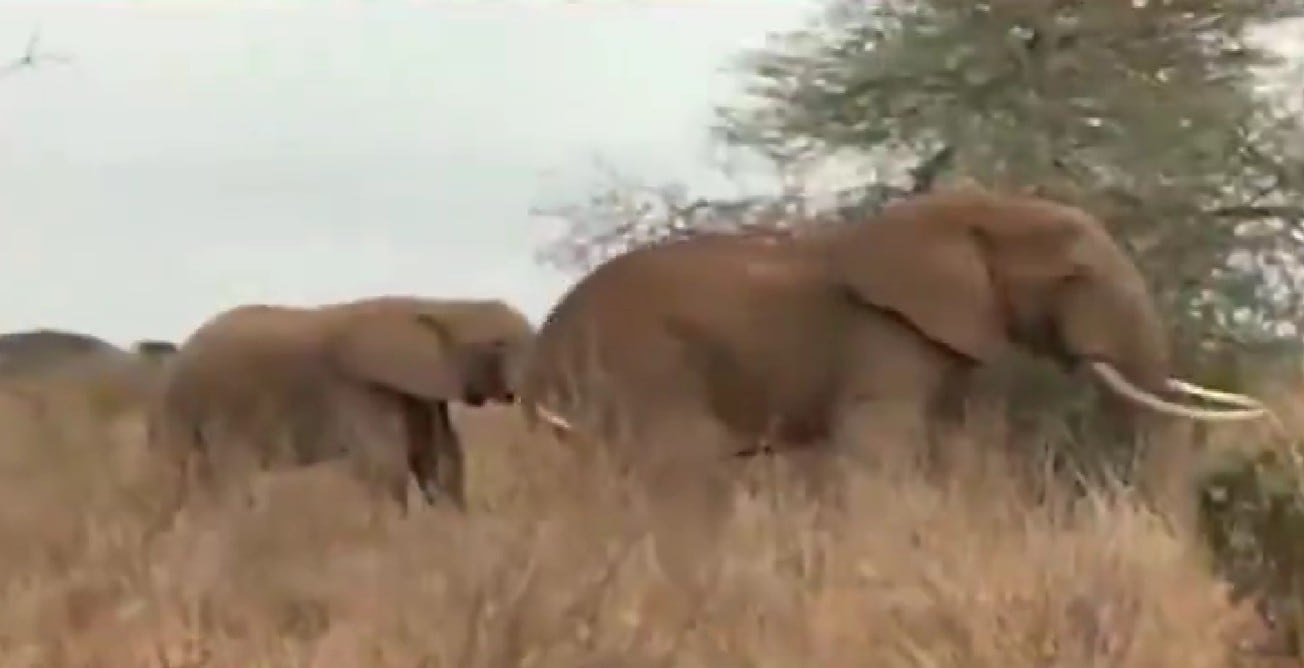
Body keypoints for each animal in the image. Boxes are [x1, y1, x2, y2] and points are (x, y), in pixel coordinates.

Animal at [147, 295, 534, 515]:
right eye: (497, 345)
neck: (440, 305)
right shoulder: (360, 389)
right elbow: (384, 463)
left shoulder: (419, 393)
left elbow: (440, 460)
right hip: (217, 405)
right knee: (222, 473)